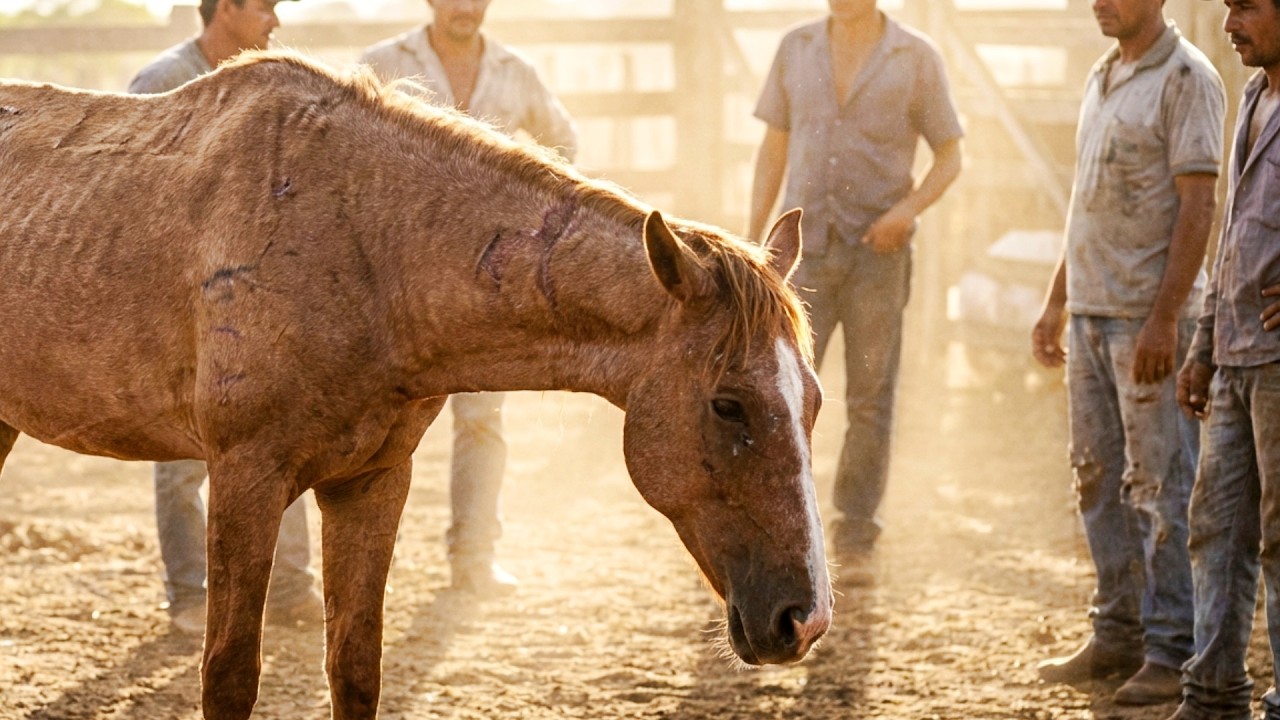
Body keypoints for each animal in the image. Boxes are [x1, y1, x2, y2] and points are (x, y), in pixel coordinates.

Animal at [0, 51, 831, 719]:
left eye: (815, 402)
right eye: (728, 404)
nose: (806, 620)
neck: (367, 244)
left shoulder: (371, 482)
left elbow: (356, 667)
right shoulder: (244, 476)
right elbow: (229, 678)